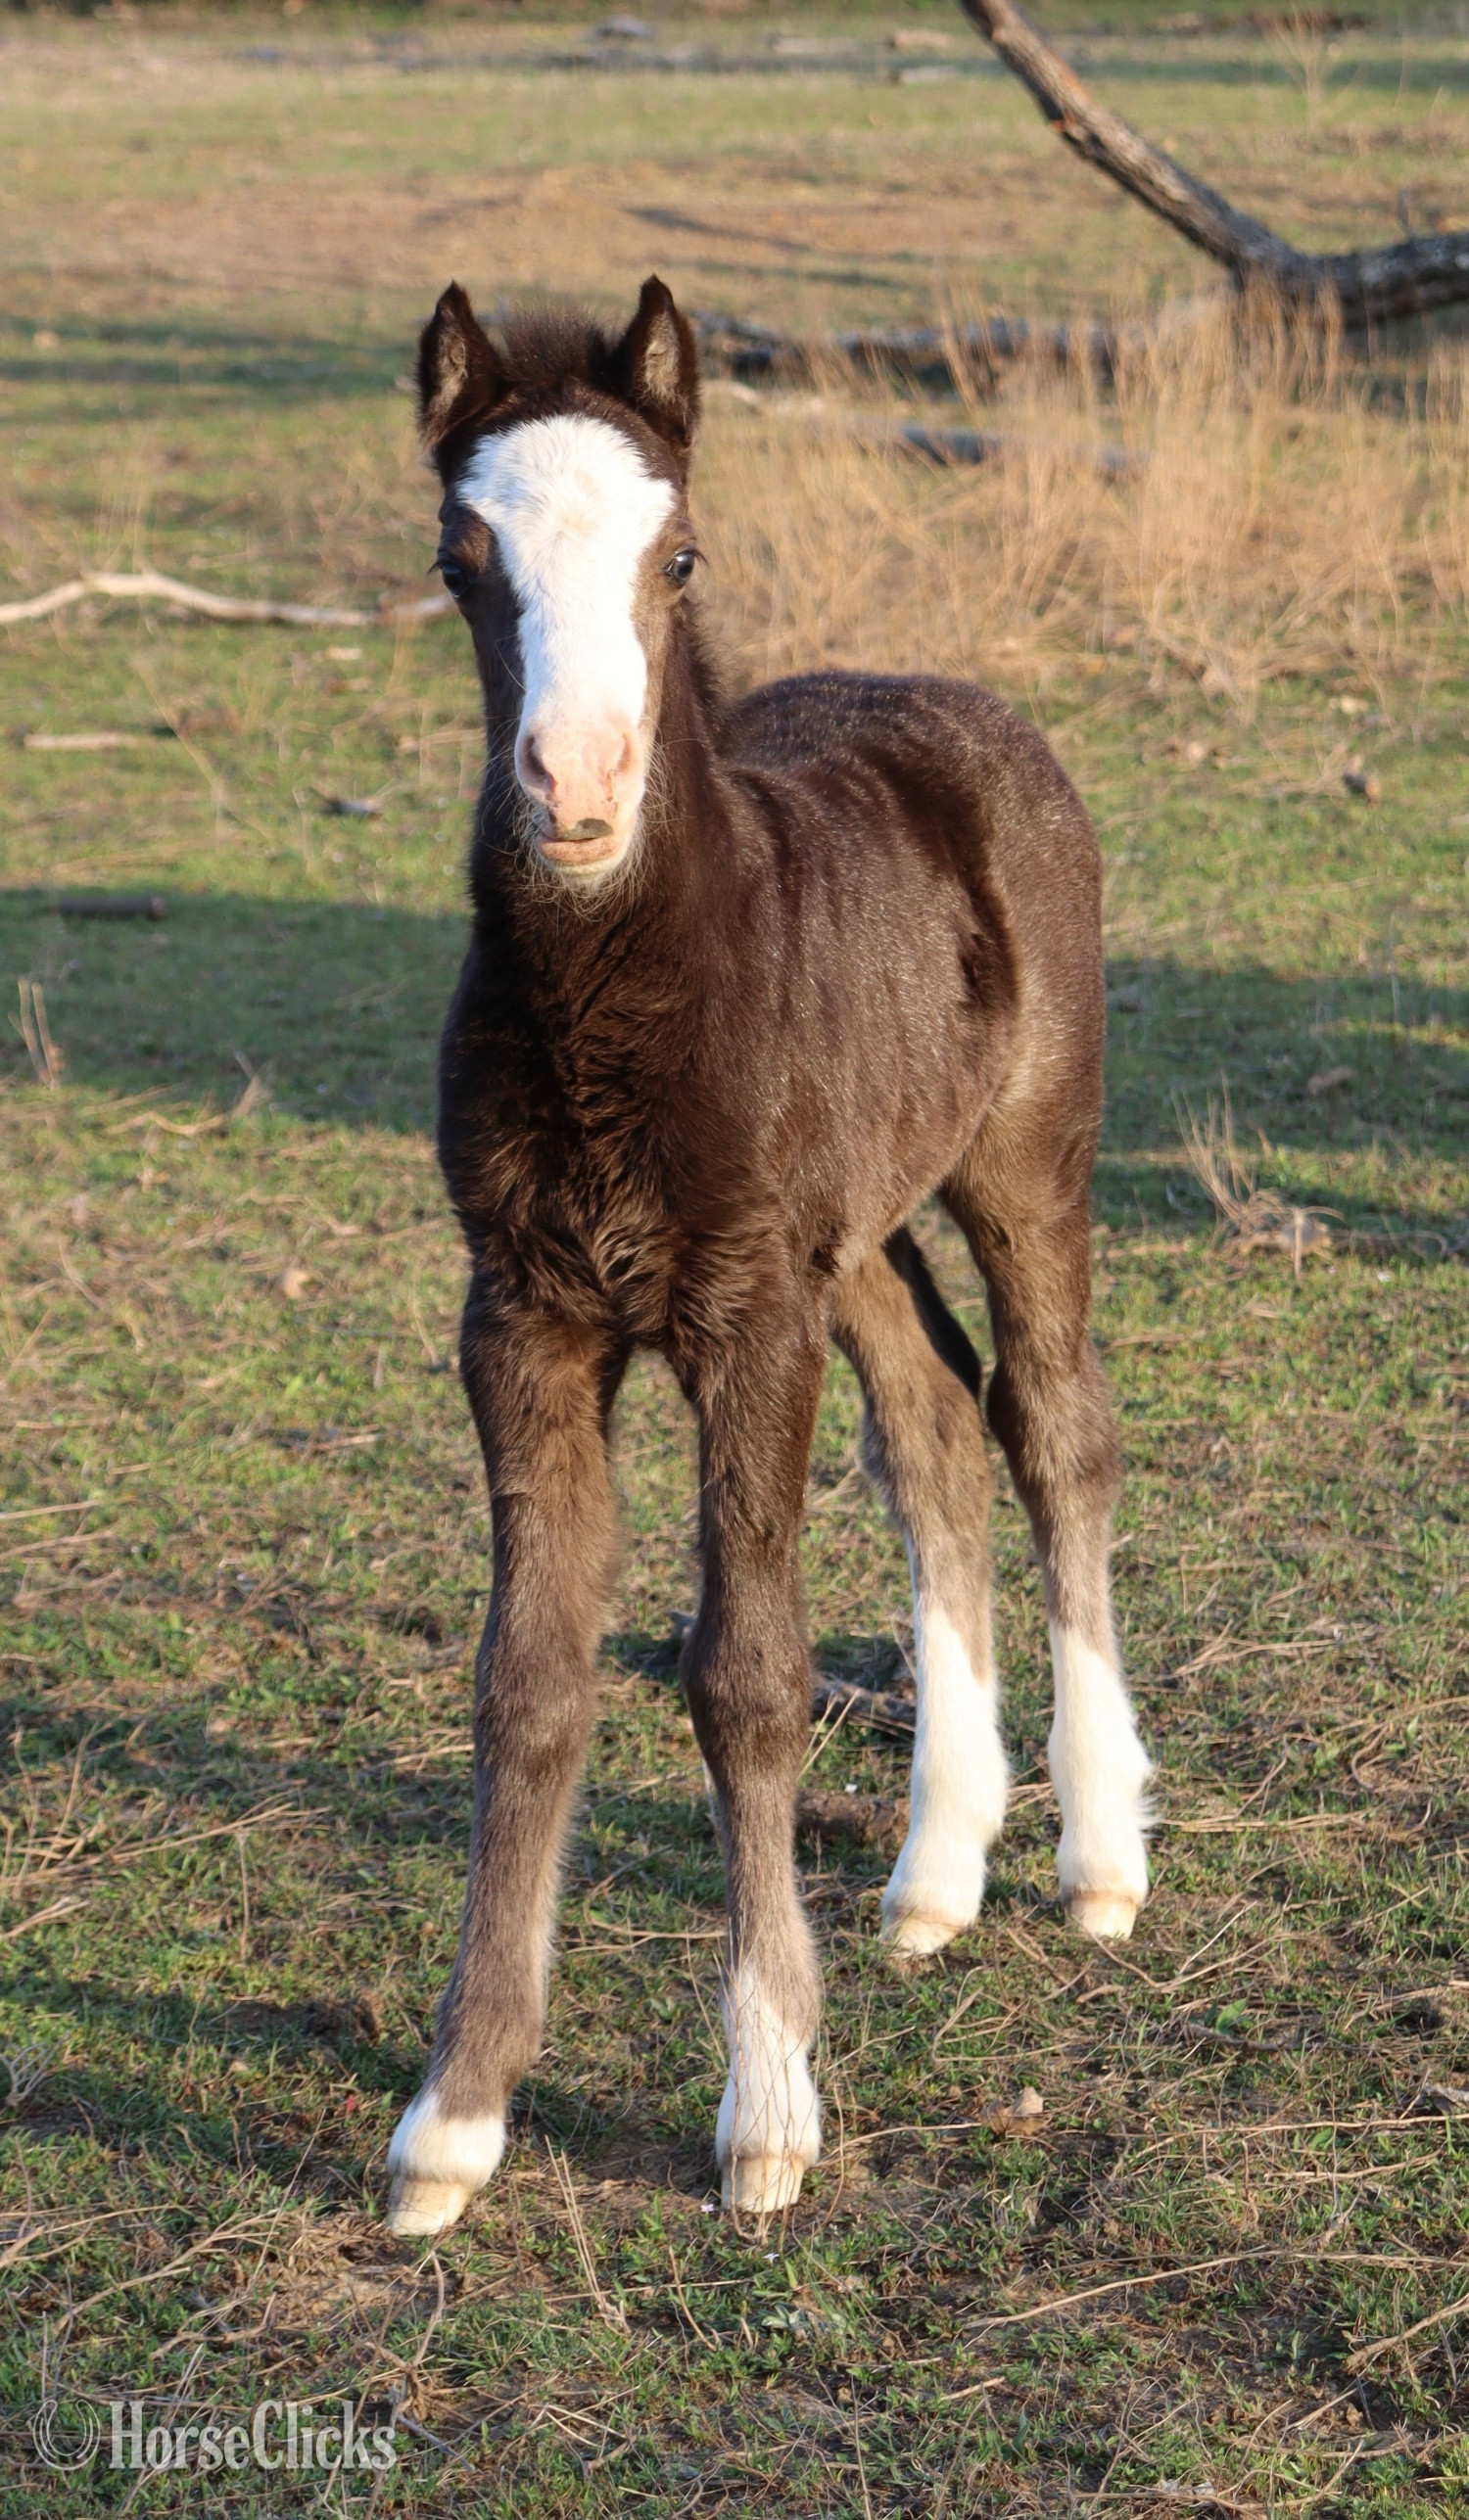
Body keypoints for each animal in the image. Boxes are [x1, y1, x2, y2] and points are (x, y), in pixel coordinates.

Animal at [385, 273, 1152, 2238]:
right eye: (460, 559)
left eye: (681, 555)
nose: (576, 789)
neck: (617, 1000)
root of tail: (972, 711)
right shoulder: (525, 1316)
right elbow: (530, 1681)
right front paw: (456, 2115)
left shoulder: (742, 1319)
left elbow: (745, 1676)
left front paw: (766, 2108)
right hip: (852, 1237)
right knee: (938, 1432)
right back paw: (940, 1868)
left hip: (1023, 1166)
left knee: (1055, 1426)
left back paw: (1101, 1849)